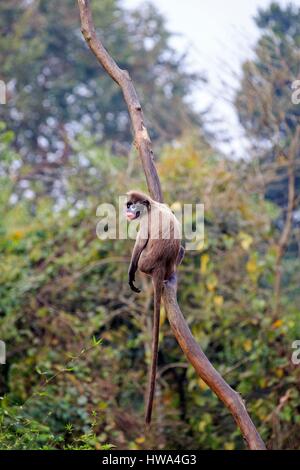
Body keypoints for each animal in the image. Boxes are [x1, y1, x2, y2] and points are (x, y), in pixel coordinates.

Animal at [125, 189, 184, 424]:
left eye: (132, 205)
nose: (128, 209)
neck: (153, 207)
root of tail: (159, 268)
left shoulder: (146, 221)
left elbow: (139, 244)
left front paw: (130, 276)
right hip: (168, 268)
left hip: (146, 263)